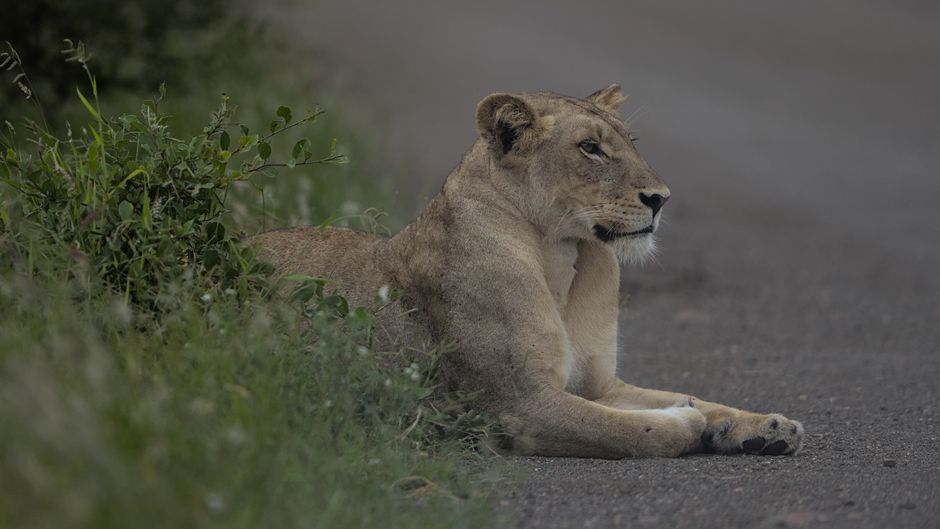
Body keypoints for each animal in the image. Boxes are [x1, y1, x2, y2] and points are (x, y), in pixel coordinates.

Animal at [248, 85, 804, 458]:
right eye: (590, 148)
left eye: (631, 141)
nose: (660, 199)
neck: (565, 260)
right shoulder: (521, 404)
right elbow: (635, 430)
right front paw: (684, 423)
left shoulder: (599, 386)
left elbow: (701, 401)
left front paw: (765, 426)